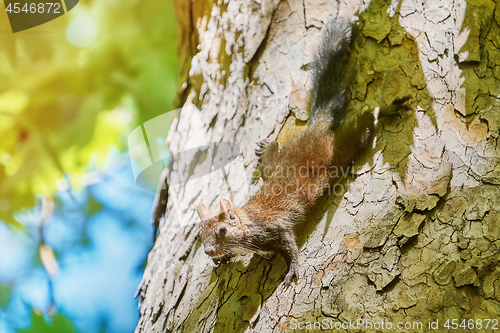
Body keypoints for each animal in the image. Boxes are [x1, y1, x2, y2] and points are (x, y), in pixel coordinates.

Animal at [193, 16, 408, 284]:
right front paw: (223, 258)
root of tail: (316, 127)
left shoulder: (275, 228)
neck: (248, 222)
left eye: (222, 229)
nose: (209, 251)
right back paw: (266, 149)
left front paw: (292, 268)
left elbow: (289, 246)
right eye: (200, 234)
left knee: (366, 124)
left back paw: (385, 111)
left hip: (343, 147)